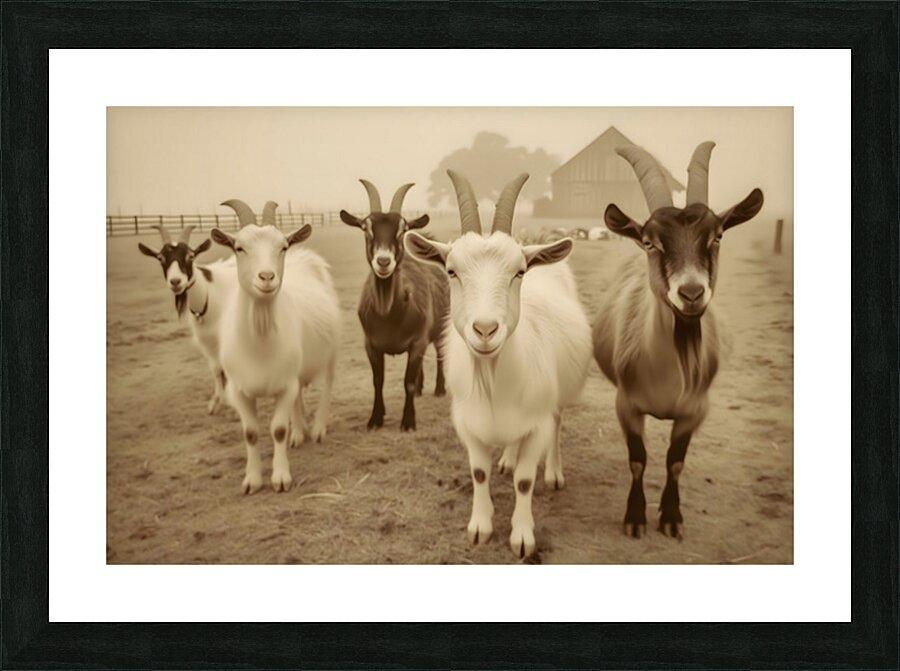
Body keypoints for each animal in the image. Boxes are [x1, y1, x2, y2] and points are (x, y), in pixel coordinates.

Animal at [138, 224, 237, 414]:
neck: (209, 296)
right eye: (160, 258)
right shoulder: (206, 341)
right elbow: (216, 368)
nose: (176, 282)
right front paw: (216, 402)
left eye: (190, 256)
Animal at [211, 199, 341, 494]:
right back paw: (299, 432)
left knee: (328, 385)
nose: (267, 277)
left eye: (282, 246)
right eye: (239, 247)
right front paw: (252, 480)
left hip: (331, 353)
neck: (259, 344)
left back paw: (316, 429)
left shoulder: (285, 385)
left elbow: (277, 429)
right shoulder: (239, 391)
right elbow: (250, 433)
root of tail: (305, 258)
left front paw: (281, 477)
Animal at [340, 181, 449, 431]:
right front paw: (375, 419)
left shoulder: (417, 340)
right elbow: (377, 380)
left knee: (440, 353)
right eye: (365, 228)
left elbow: (407, 381)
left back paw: (439, 389)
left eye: (402, 229)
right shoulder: (370, 344)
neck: (388, 314)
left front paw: (408, 422)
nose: (383, 261)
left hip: (441, 326)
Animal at [405, 170, 592, 558]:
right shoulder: (468, 423)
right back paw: (506, 457)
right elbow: (479, 472)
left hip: (558, 399)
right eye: (451, 271)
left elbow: (525, 480)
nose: (486, 329)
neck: (493, 381)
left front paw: (522, 535)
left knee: (558, 424)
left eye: (519, 272)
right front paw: (481, 526)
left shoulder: (537, 425)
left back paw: (554, 472)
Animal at [592, 142, 764, 539]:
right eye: (649, 242)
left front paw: (671, 517)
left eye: (717, 236)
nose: (691, 293)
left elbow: (675, 463)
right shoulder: (626, 405)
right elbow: (638, 461)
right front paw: (635, 518)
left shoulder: (695, 410)